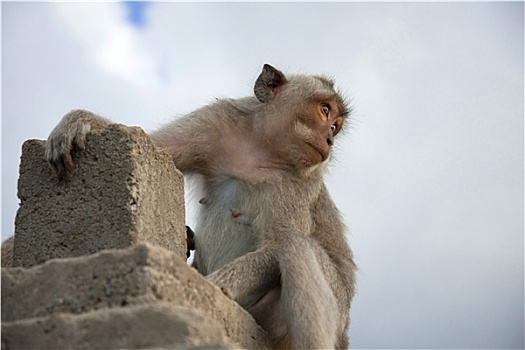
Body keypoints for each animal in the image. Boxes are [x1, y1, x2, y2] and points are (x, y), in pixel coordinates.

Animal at [44, 64, 356, 348]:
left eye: (335, 125)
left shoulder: (299, 184)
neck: (263, 151)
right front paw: (79, 120)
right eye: (325, 110)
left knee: (297, 247)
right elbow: (157, 146)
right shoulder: (215, 122)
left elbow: (275, 246)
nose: (329, 138)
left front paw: (207, 286)